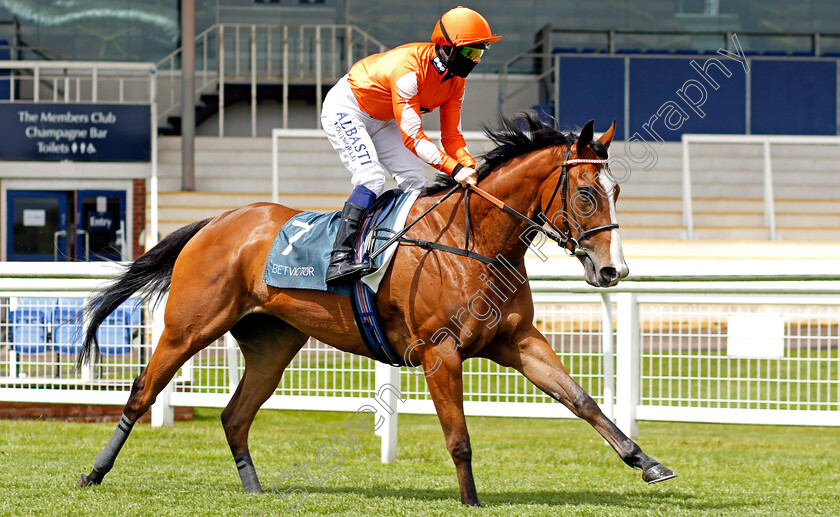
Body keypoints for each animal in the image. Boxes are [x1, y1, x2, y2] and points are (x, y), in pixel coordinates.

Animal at [75, 112, 672, 504]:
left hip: (273, 343)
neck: (472, 240)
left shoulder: (518, 341)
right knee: (143, 392)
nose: (613, 271)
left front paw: (647, 462)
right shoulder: (440, 352)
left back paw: (255, 489)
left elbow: (583, 401)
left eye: (617, 190)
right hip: (188, 328)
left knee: (234, 414)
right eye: (587, 194)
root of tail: (217, 220)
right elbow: (459, 438)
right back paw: (93, 473)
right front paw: (472, 502)